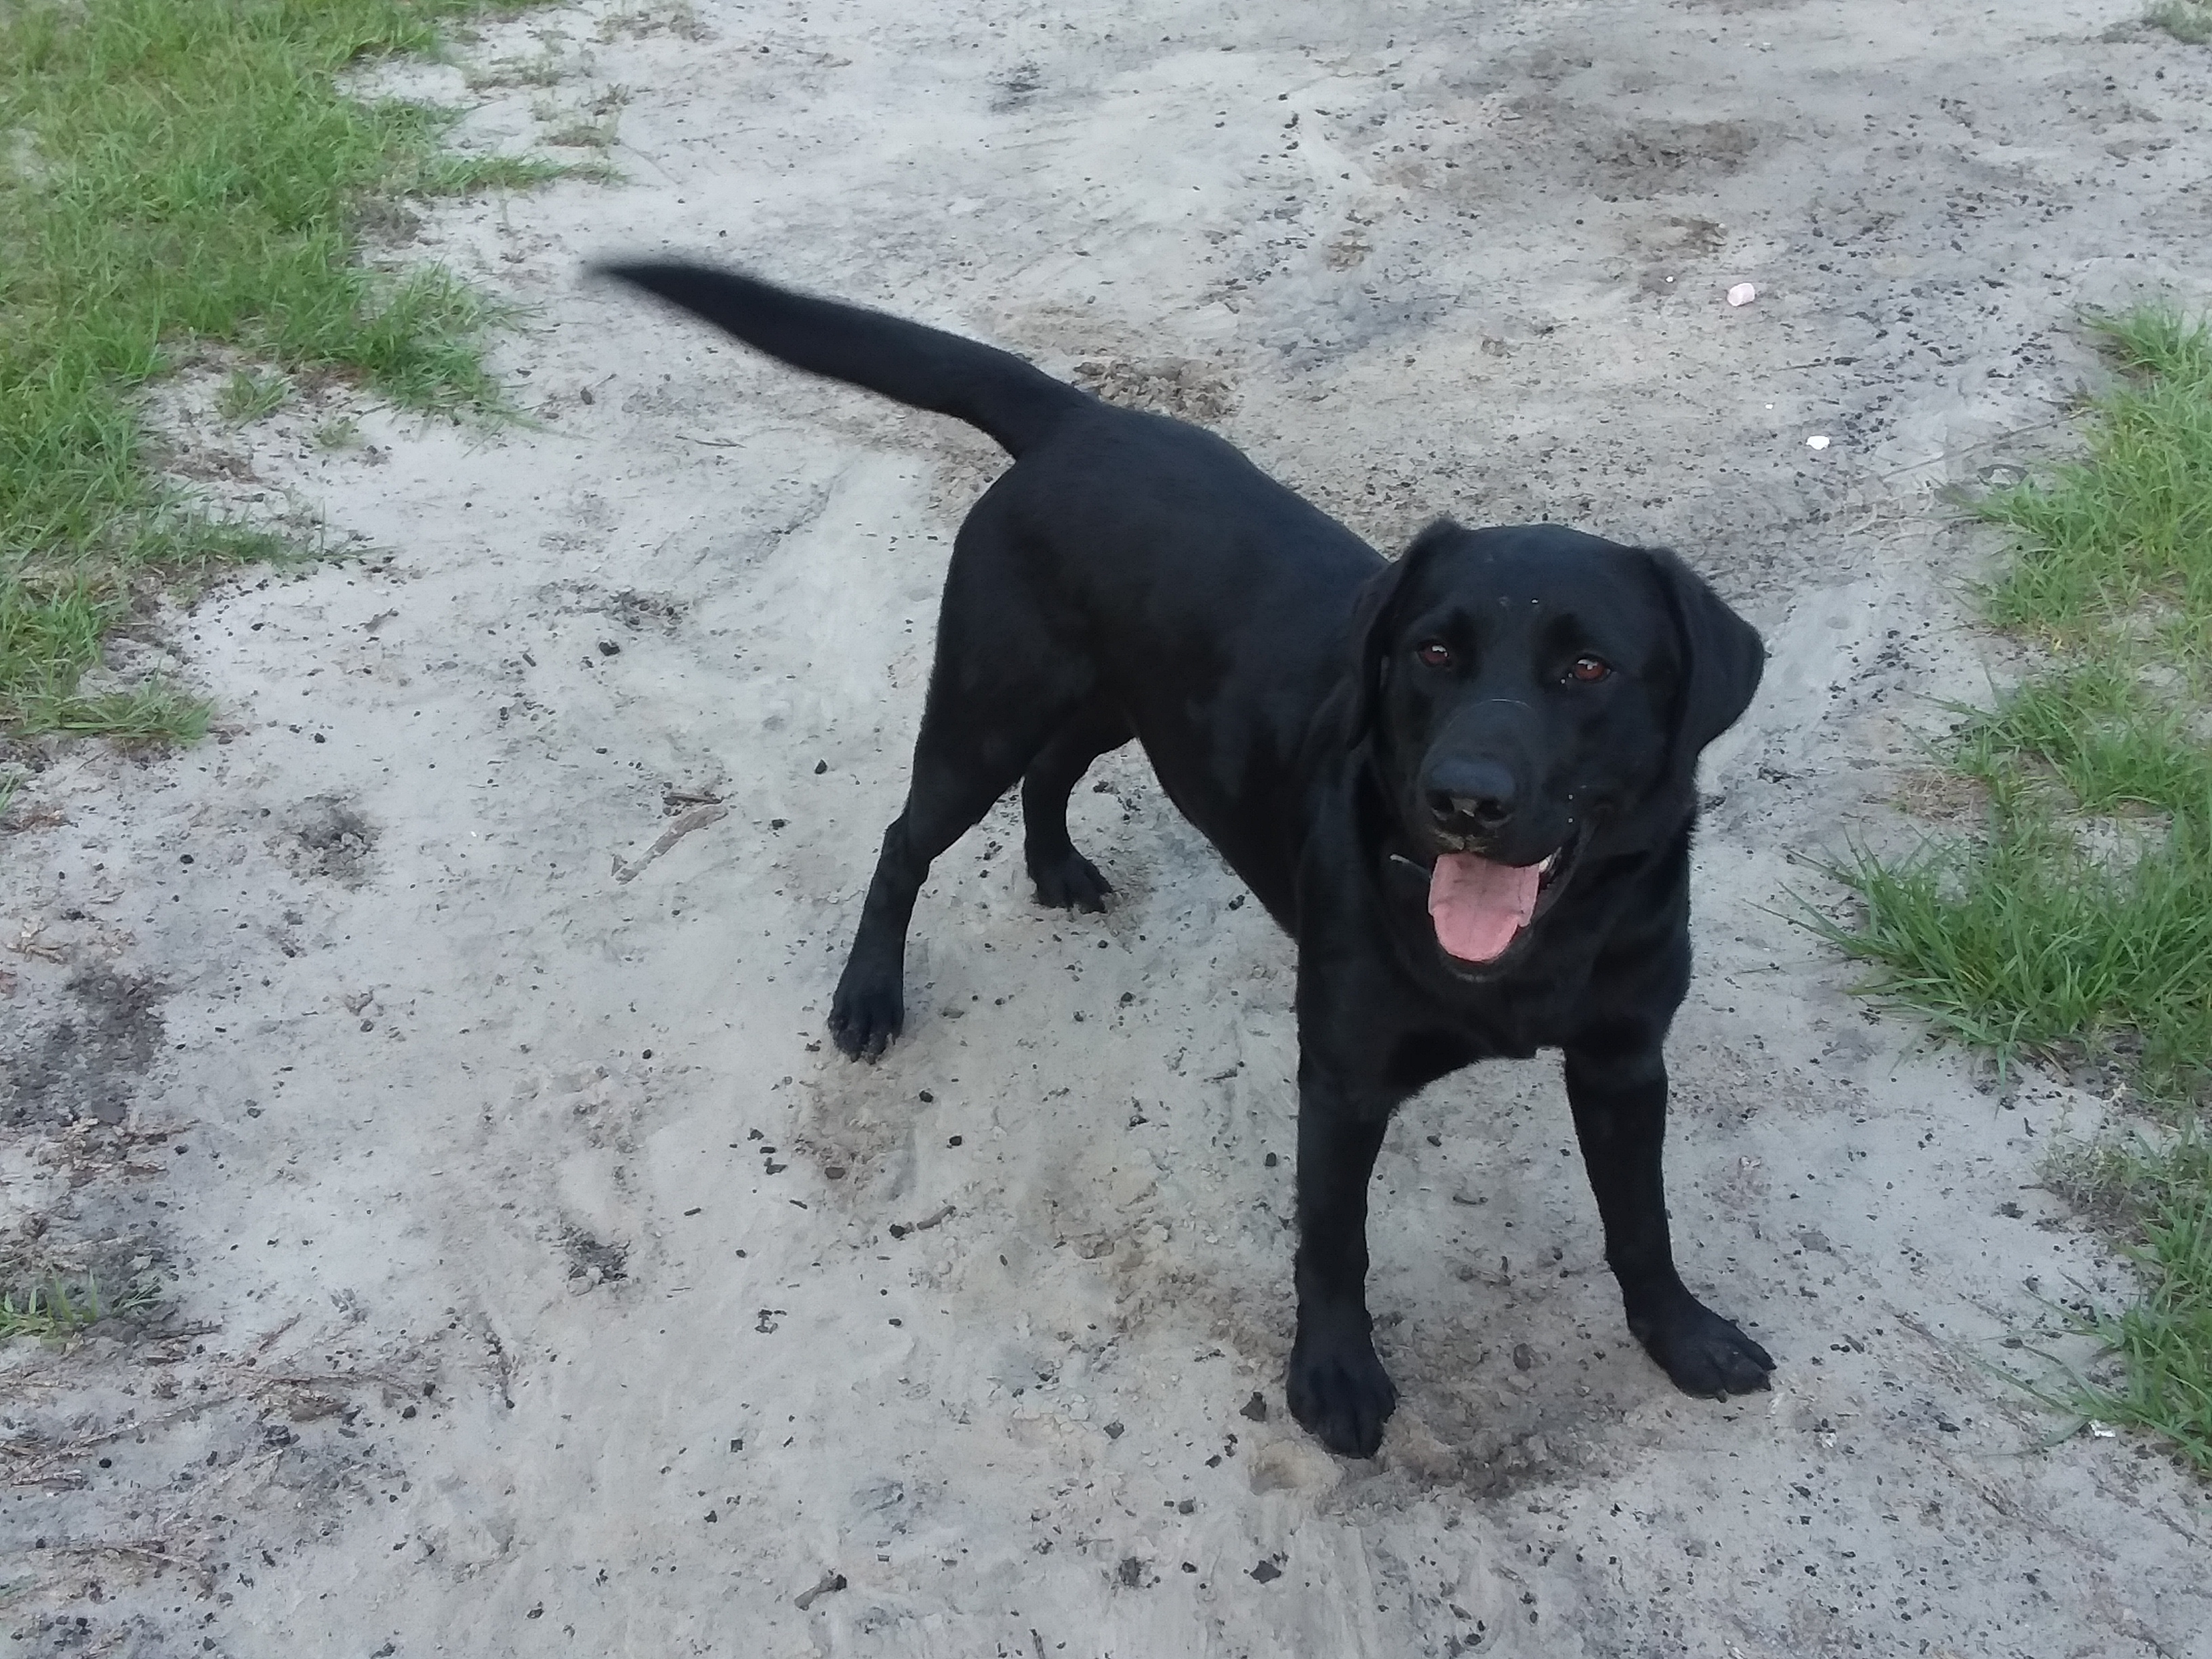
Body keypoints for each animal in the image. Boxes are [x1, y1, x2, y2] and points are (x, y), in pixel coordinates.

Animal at [597, 260, 1769, 1451]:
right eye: (1435, 652)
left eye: (1589, 669)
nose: (1464, 800)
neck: (1536, 951)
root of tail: (1082, 417)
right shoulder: (1343, 1079)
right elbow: (1333, 1244)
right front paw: (1334, 1376)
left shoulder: (1625, 1061)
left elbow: (1643, 1219)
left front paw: (1684, 1336)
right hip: (987, 711)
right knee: (904, 843)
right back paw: (871, 993)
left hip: (1118, 704)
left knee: (1052, 773)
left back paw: (1056, 869)